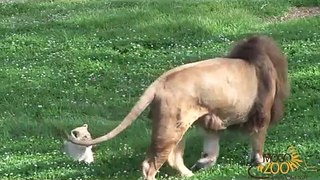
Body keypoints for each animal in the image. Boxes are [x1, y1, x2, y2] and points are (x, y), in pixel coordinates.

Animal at [67, 34, 290, 179]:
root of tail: (158, 83)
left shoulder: (212, 118)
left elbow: (211, 149)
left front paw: (203, 164)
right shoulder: (262, 114)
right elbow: (257, 142)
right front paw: (261, 162)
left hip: (175, 127)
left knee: (173, 157)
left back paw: (189, 174)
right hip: (170, 128)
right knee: (150, 165)